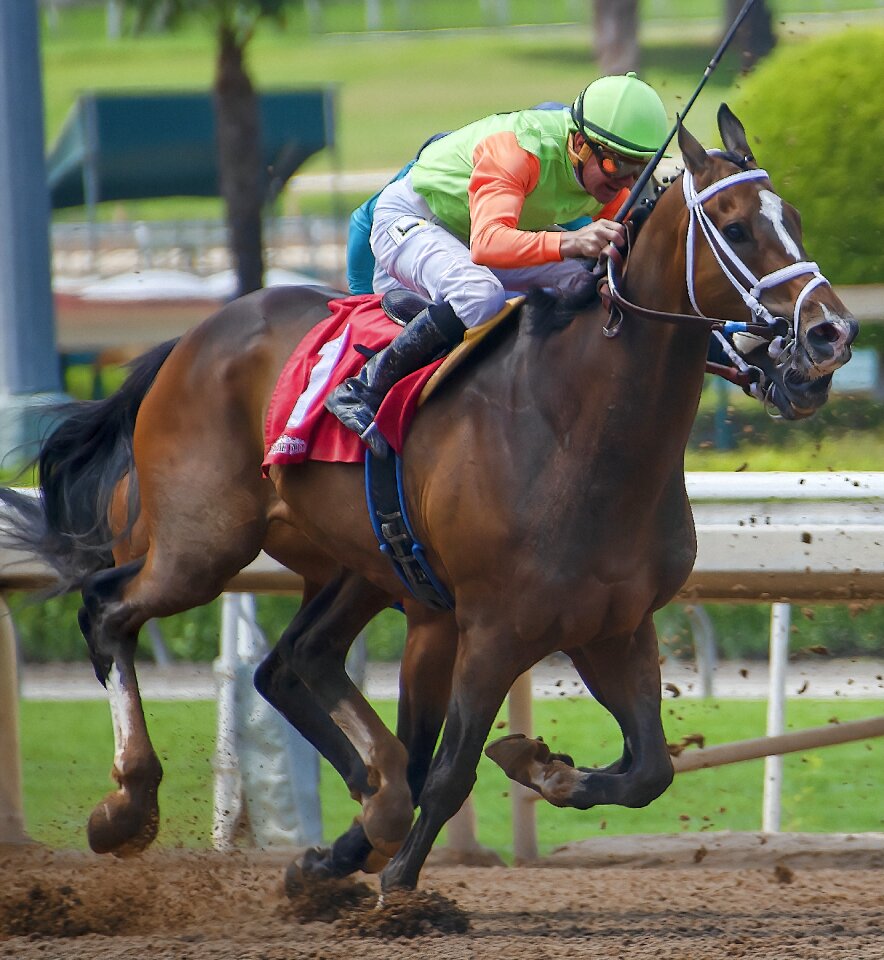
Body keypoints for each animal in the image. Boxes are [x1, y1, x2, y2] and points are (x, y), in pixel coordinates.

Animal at [1, 109, 856, 896]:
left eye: (795, 218)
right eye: (737, 227)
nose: (831, 334)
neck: (578, 434)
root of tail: (190, 338)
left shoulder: (613, 625)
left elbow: (648, 769)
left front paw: (537, 768)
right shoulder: (493, 625)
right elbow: (449, 771)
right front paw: (400, 890)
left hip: (355, 566)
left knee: (291, 662)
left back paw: (353, 819)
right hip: (202, 545)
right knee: (108, 609)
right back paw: (128, 806)